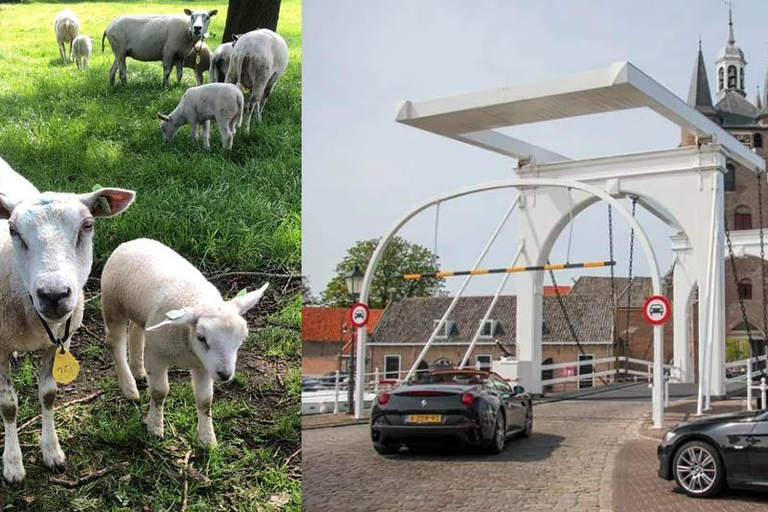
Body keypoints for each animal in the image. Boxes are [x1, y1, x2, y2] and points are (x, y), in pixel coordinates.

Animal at [0, 154, 135, 482]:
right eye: (13, 231)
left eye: (87, 225)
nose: (53, 294)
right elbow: (8, 406)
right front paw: (13, 464)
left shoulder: (60, 341)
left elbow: (49, 394)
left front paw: (52, 452)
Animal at [101, 238, 270, 446]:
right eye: (201, 337)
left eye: (242, 339)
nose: (225, 375)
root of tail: (134, 240)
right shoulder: (156, 356)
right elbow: (159, 392)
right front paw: (155, 428)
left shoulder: (204, 366)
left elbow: (205, 400)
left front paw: (207, 439)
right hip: (113, 303)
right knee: (115, 342)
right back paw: (129, 388)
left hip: (138, 310)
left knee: (136, 330)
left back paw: (138, 371)